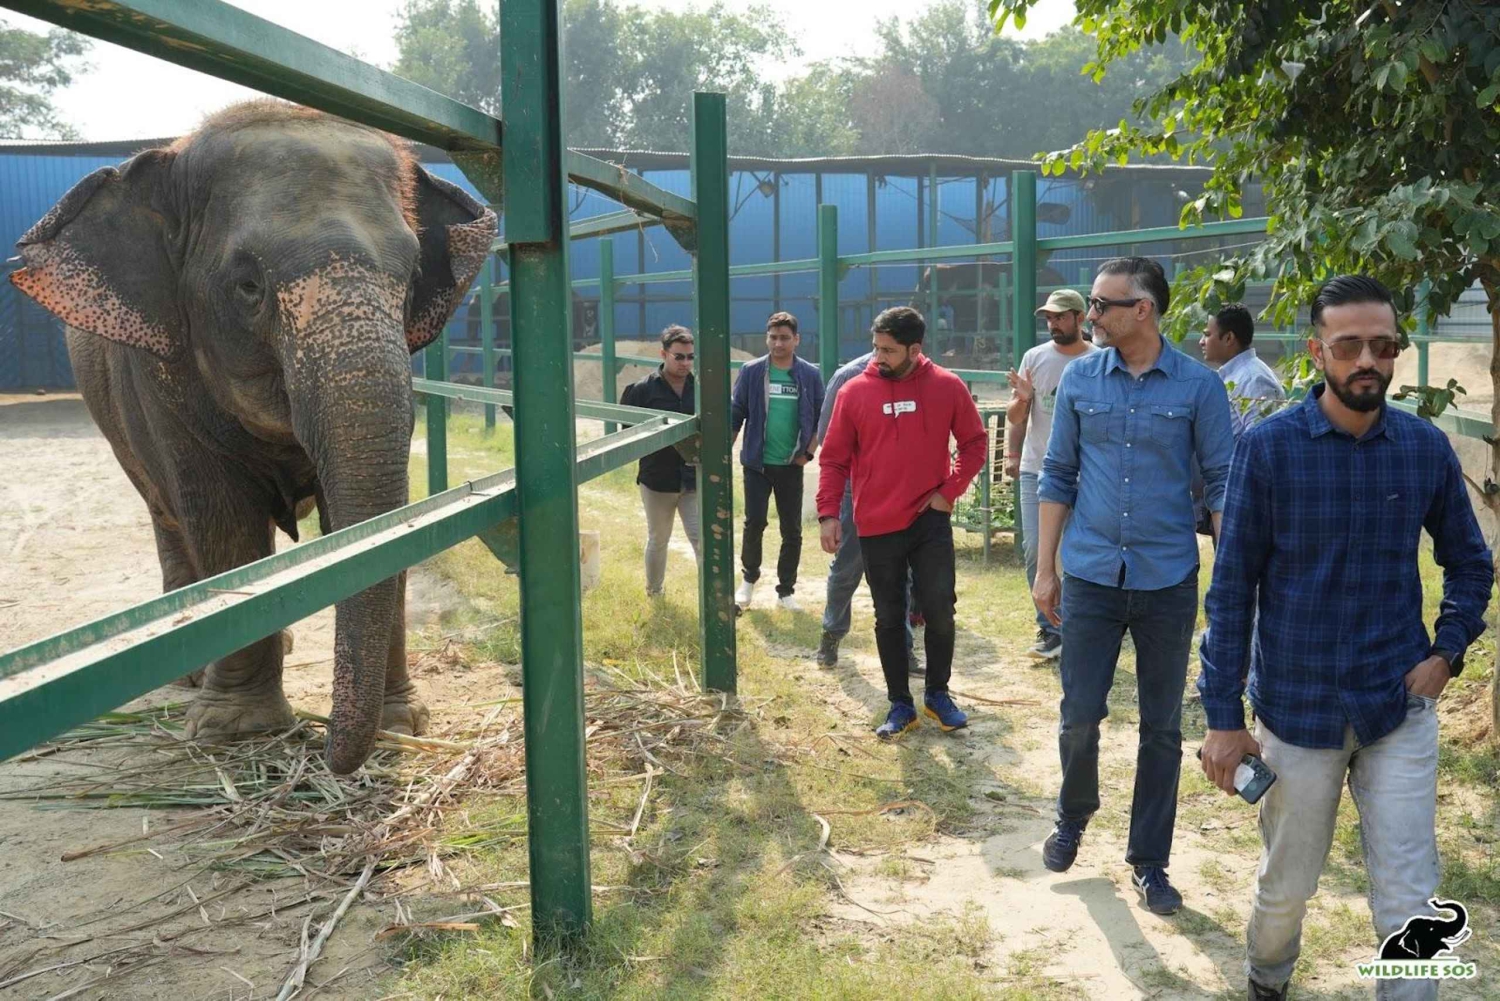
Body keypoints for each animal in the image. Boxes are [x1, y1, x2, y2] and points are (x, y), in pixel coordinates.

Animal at [8, 99, 496, 774]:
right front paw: (233, 729)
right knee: (168, 513)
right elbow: (224, 521)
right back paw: (193, 670)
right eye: (247, 286)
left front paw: (402, 723)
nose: (331, 754)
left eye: (414, 276)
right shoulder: (161, 378)